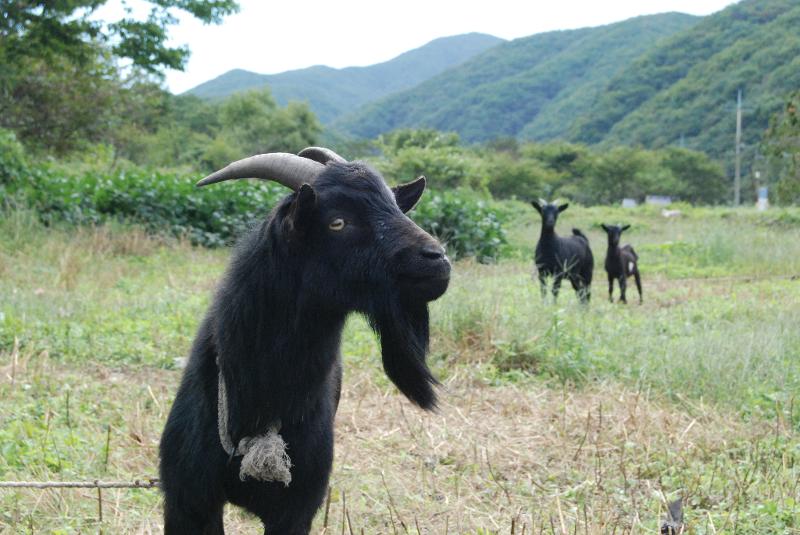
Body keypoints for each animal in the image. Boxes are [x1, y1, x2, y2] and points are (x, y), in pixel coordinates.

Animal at [159, 148, 454, 535]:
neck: (258, 405)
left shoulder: (296, 508)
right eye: (338, 222)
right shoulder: (188, 500)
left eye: (395, 206)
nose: (438, 259)